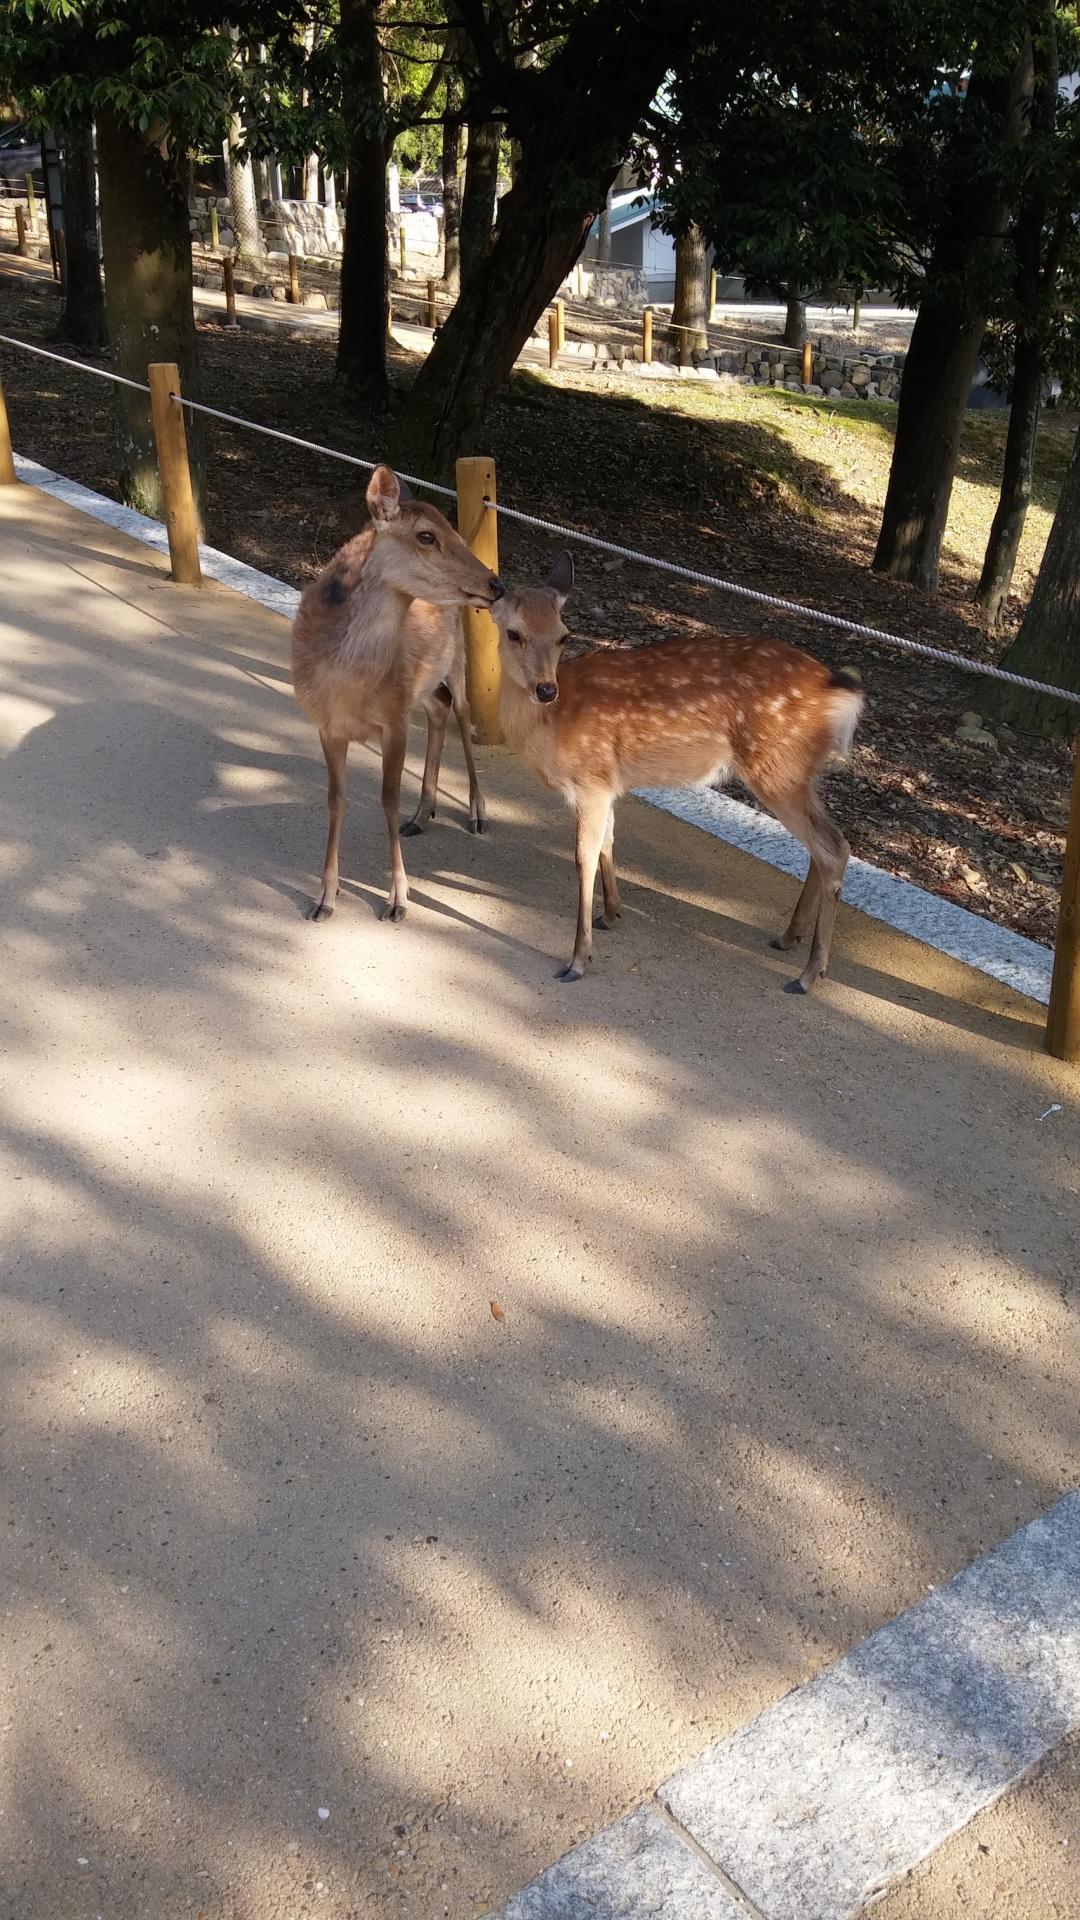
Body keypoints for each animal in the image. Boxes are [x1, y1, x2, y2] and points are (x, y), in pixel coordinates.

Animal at [290, 460, 499, 917]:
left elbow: (387, 800)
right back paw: (422, 815)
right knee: (439, 708)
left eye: (456, 533)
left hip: (456, 658)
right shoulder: (326, 726)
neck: (348, 687)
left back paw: (477, 813)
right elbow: (336, 799)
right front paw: (324, 898)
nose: (497, 585)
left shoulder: (395, 721)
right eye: (427, 535)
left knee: (462, 714)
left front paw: (398, 899)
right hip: (423, 684)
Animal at [488, 549, 857, 983]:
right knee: (823, 845)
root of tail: (839, 689)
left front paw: (578, 960)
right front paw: (611, 913)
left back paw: (809, 973)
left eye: (564, 634)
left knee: (833, 848)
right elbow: (608, 842)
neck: (552, 725)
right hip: (801, 770)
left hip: (777, 765)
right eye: (514, 633)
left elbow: (583, 858)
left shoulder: (590, 778)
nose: (546, 689)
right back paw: (788, 938)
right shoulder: (607, 783)